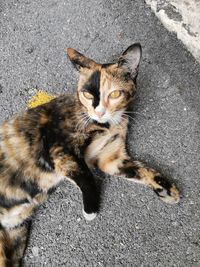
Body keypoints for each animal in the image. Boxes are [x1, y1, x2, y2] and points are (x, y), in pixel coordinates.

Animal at [0, 43, 180, 266]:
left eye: (115, 94)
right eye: (86, 94)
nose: (99, 111)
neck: (107, 125)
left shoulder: (110, 157)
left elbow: (140, 169)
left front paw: (168, 189)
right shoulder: (60, 148)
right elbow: (86, 175)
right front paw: (91, 210)